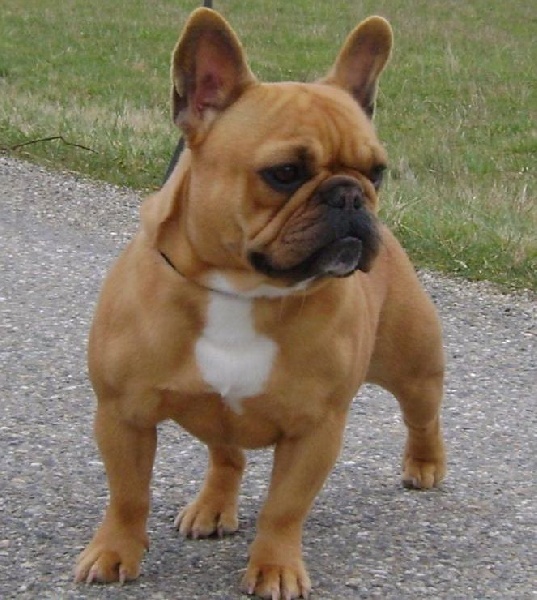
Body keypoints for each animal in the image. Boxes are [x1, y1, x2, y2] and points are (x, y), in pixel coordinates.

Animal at [74, 8, 446, 599]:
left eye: (378, 171)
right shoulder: (122, 415)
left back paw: (426, 465)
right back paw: (212, 507)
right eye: (285, 173)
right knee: (226, 456)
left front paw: (275, 567)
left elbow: (284, 508)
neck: (241, 290)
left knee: (423, 414)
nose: (351, 195)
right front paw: (113, 552)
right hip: (216, 413)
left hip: (413, 364)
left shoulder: (316, 429)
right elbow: (128, 494)